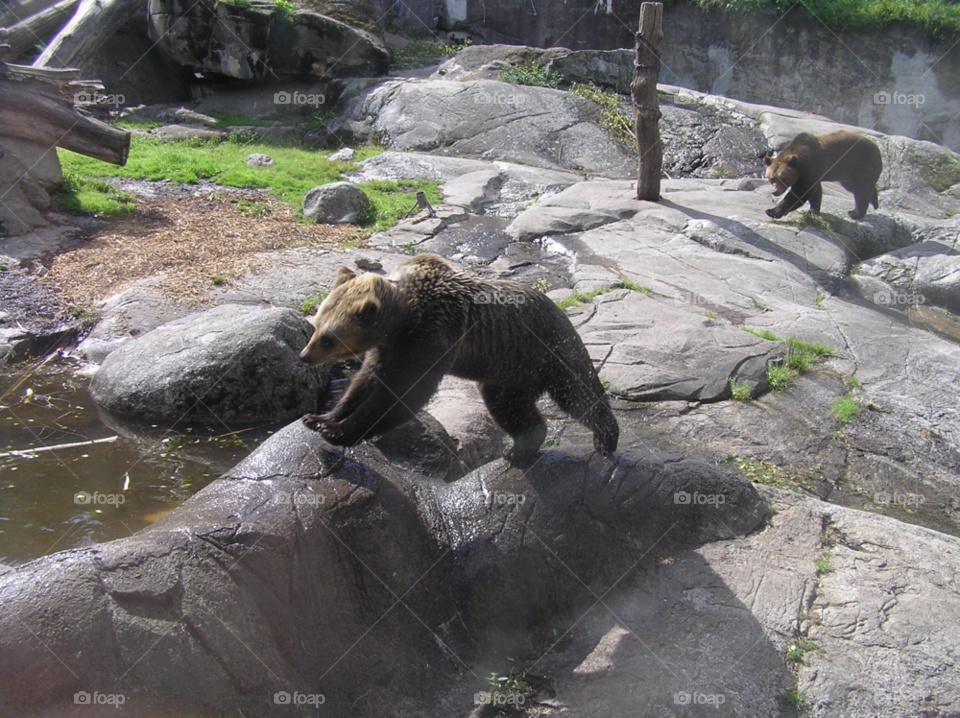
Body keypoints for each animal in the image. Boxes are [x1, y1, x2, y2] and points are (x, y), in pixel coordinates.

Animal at [299, 253, 619, 464]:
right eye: (316, 325)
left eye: (328, 337)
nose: (304, 356)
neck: (402, 320)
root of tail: (562, 314)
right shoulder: (389, 348)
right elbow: (366, 381)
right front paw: (318, 417)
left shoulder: (432, 333)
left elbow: (404, 393)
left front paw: (336, 430)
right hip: (508, 373)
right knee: (509, 407)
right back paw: (519, 448)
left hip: (548, 350)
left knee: (578, 392)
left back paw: (606, 439)